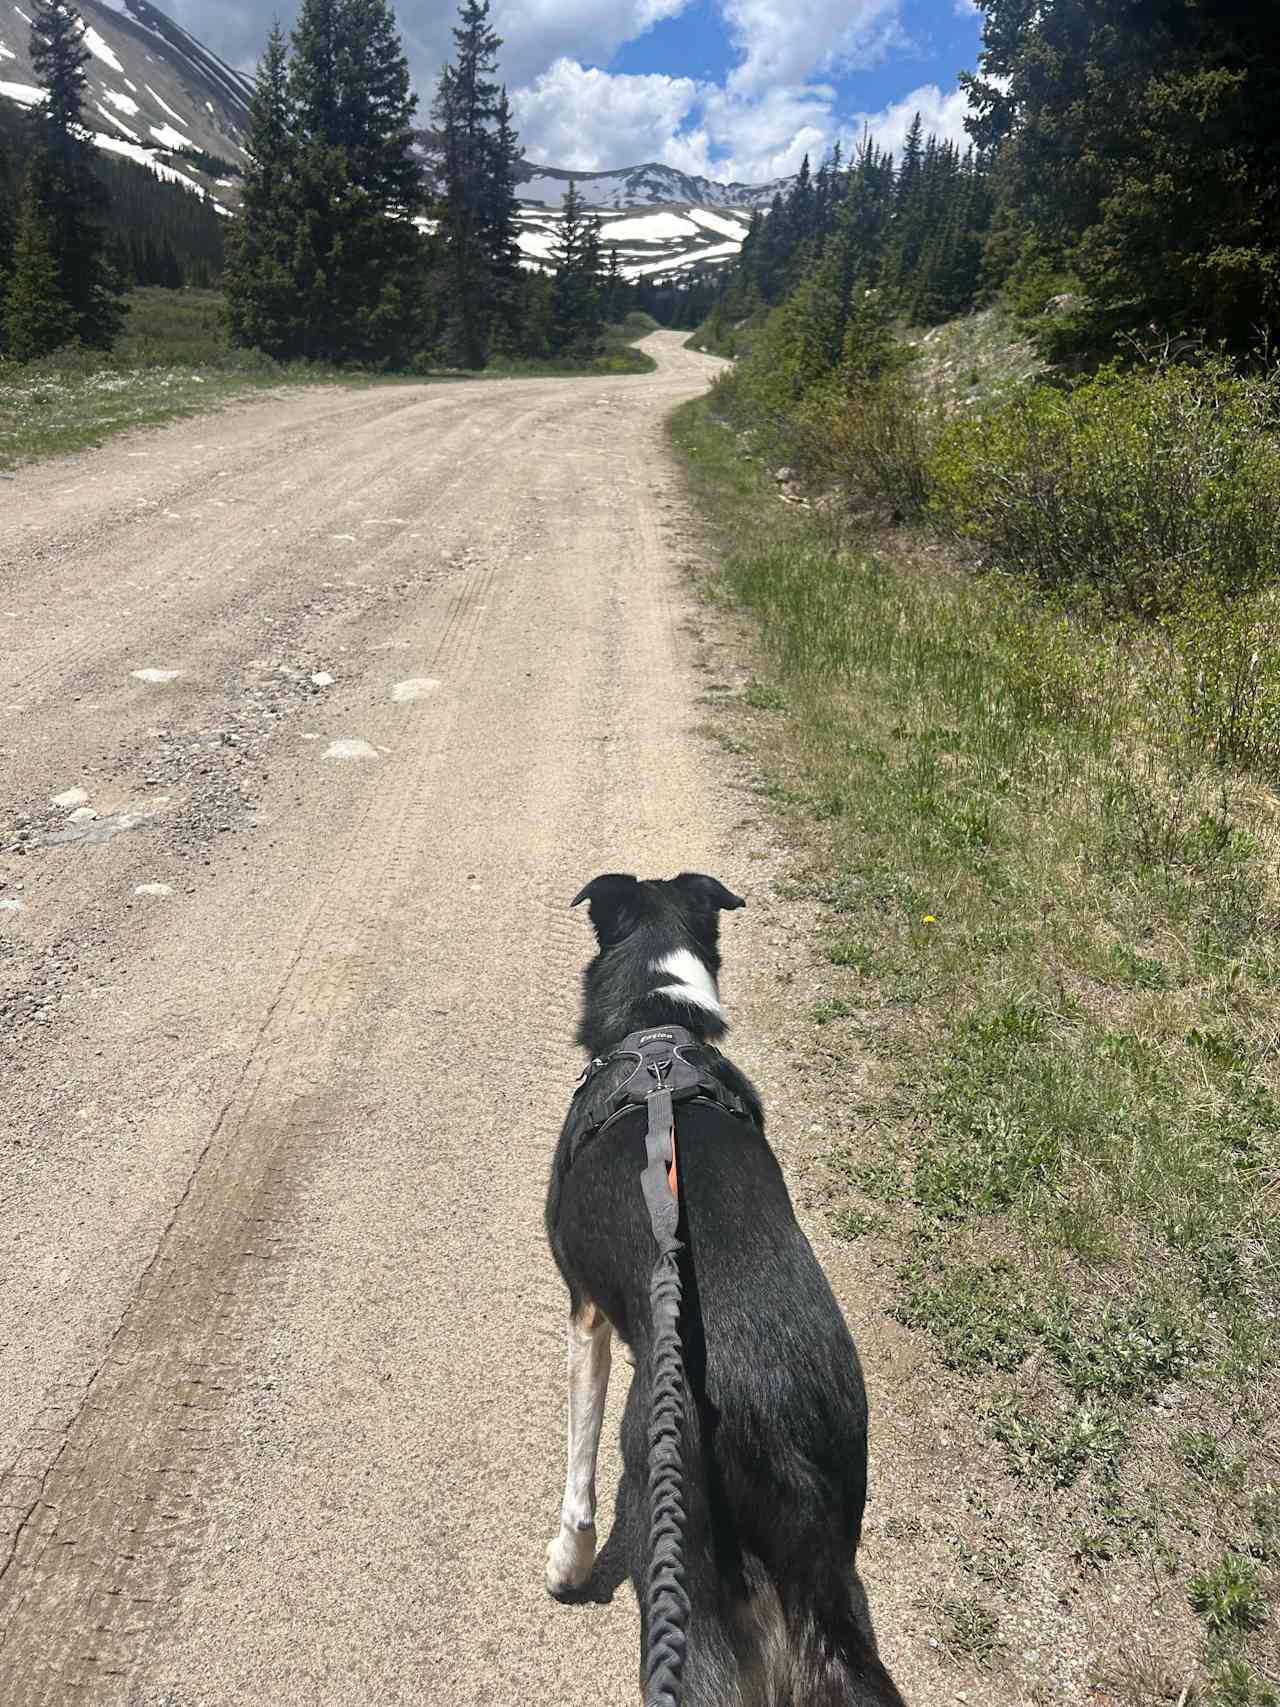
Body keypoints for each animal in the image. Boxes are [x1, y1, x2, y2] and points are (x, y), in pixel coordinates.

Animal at [546, 873, 907, 1700]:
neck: (655, 1029)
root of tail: (780, 1417)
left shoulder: (585, 1309)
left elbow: (578, 1468)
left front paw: (566, 1563)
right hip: (835, 1582)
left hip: (691, 1588)